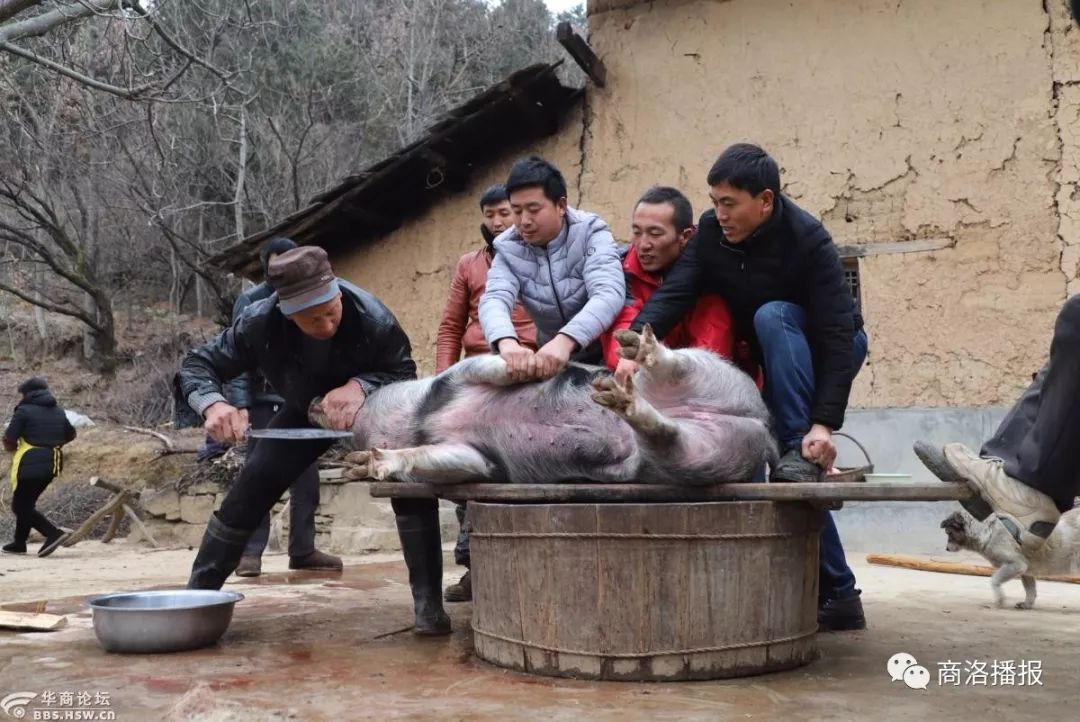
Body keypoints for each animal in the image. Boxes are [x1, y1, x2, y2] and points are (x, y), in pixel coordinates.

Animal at [341, 325, 773, 483]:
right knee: (667, 436)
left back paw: (637, 348)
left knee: (676, 364)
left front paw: (532, 364)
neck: (423, 418)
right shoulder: (474, 456)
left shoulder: (462, 373)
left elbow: (500, 368)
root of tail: (761, 424)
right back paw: (621, 400)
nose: (361, 441)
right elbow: (452, 460)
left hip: (714, 372)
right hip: (696, 455)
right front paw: (365, 464)